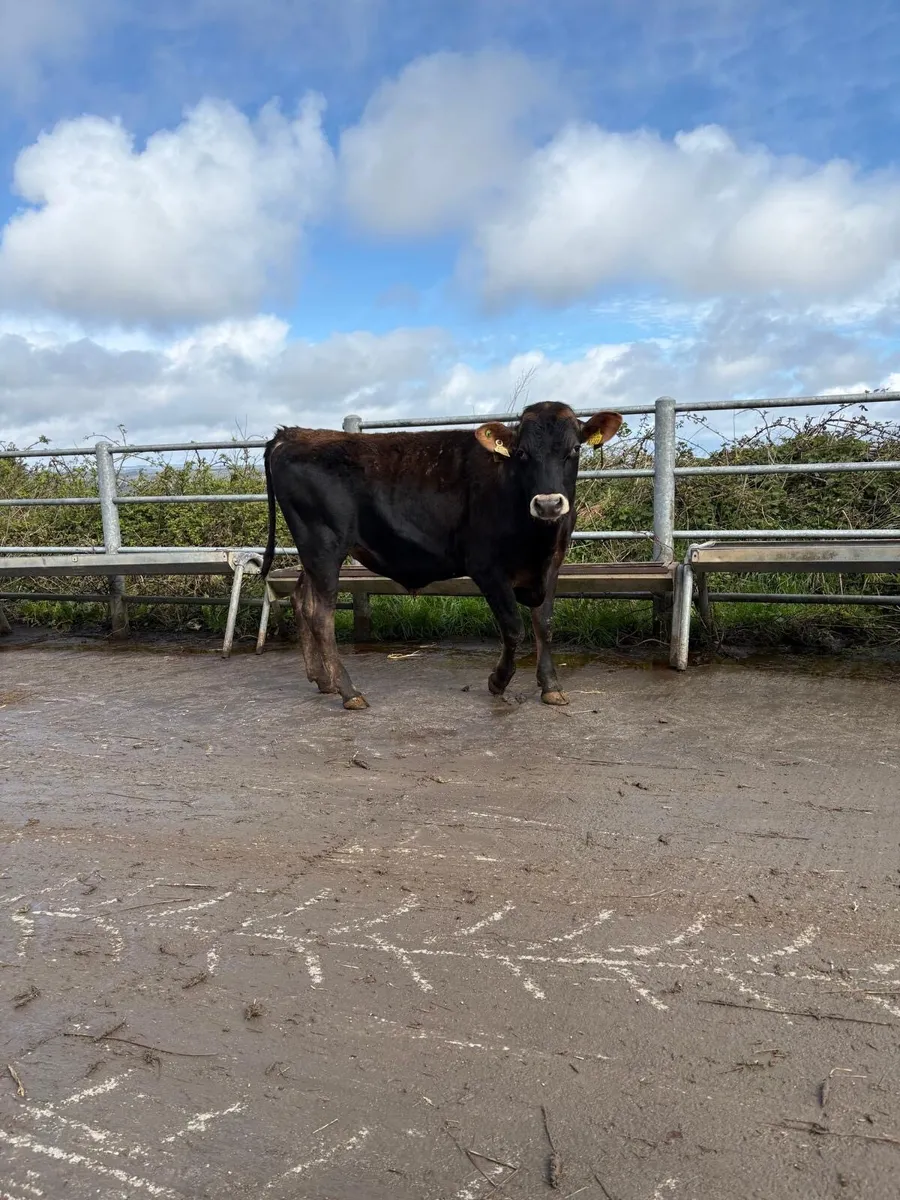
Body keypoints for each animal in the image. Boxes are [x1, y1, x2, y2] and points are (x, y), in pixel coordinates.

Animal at [261, 401, 623, 709]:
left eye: (574, 449)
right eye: (521, 452)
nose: (548, 504)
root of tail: (294, 434)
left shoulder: (552, 563)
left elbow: (544, 624)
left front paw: (551, 686)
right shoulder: (486, 567)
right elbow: (514, 627)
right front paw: (498, 681)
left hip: (314, 553)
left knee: (302, 600)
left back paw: (323, 680)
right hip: (323, 545)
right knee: (321, 615)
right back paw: (349, 691)